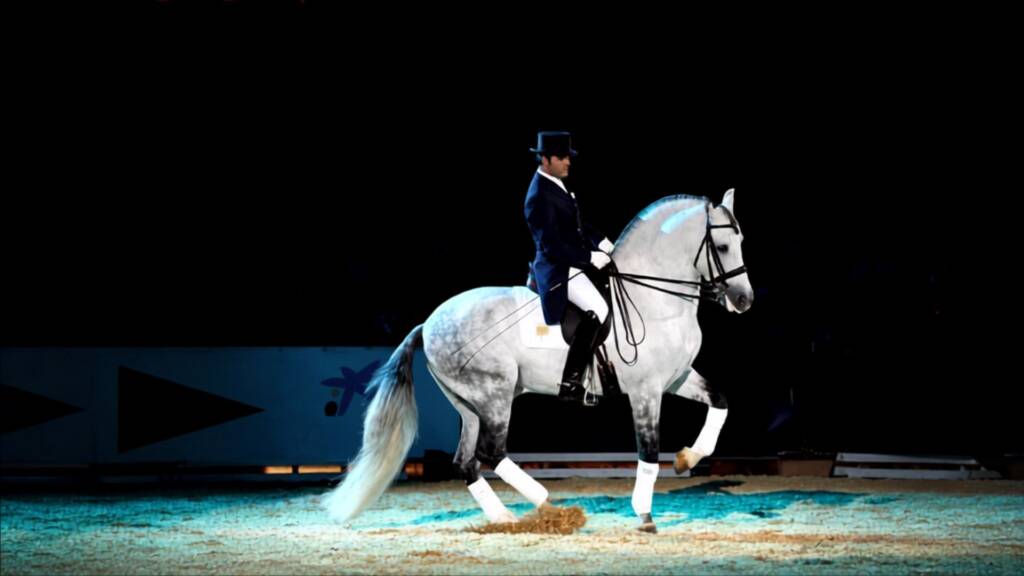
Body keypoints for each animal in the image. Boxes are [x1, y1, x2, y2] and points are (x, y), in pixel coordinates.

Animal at [324, 189, 753, 533]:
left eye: (741, 240)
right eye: (723, 246)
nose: (744, 301)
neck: (654, 300)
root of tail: (427, 323)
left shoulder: (676, 378)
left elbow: (721, 401)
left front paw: (687, 458)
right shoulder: (645, 391)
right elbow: (648, 451)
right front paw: (644, 515)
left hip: (469, 404)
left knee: (465, 462)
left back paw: (505, 517)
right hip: (494, 394)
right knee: (491, 453)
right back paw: (547, 503)